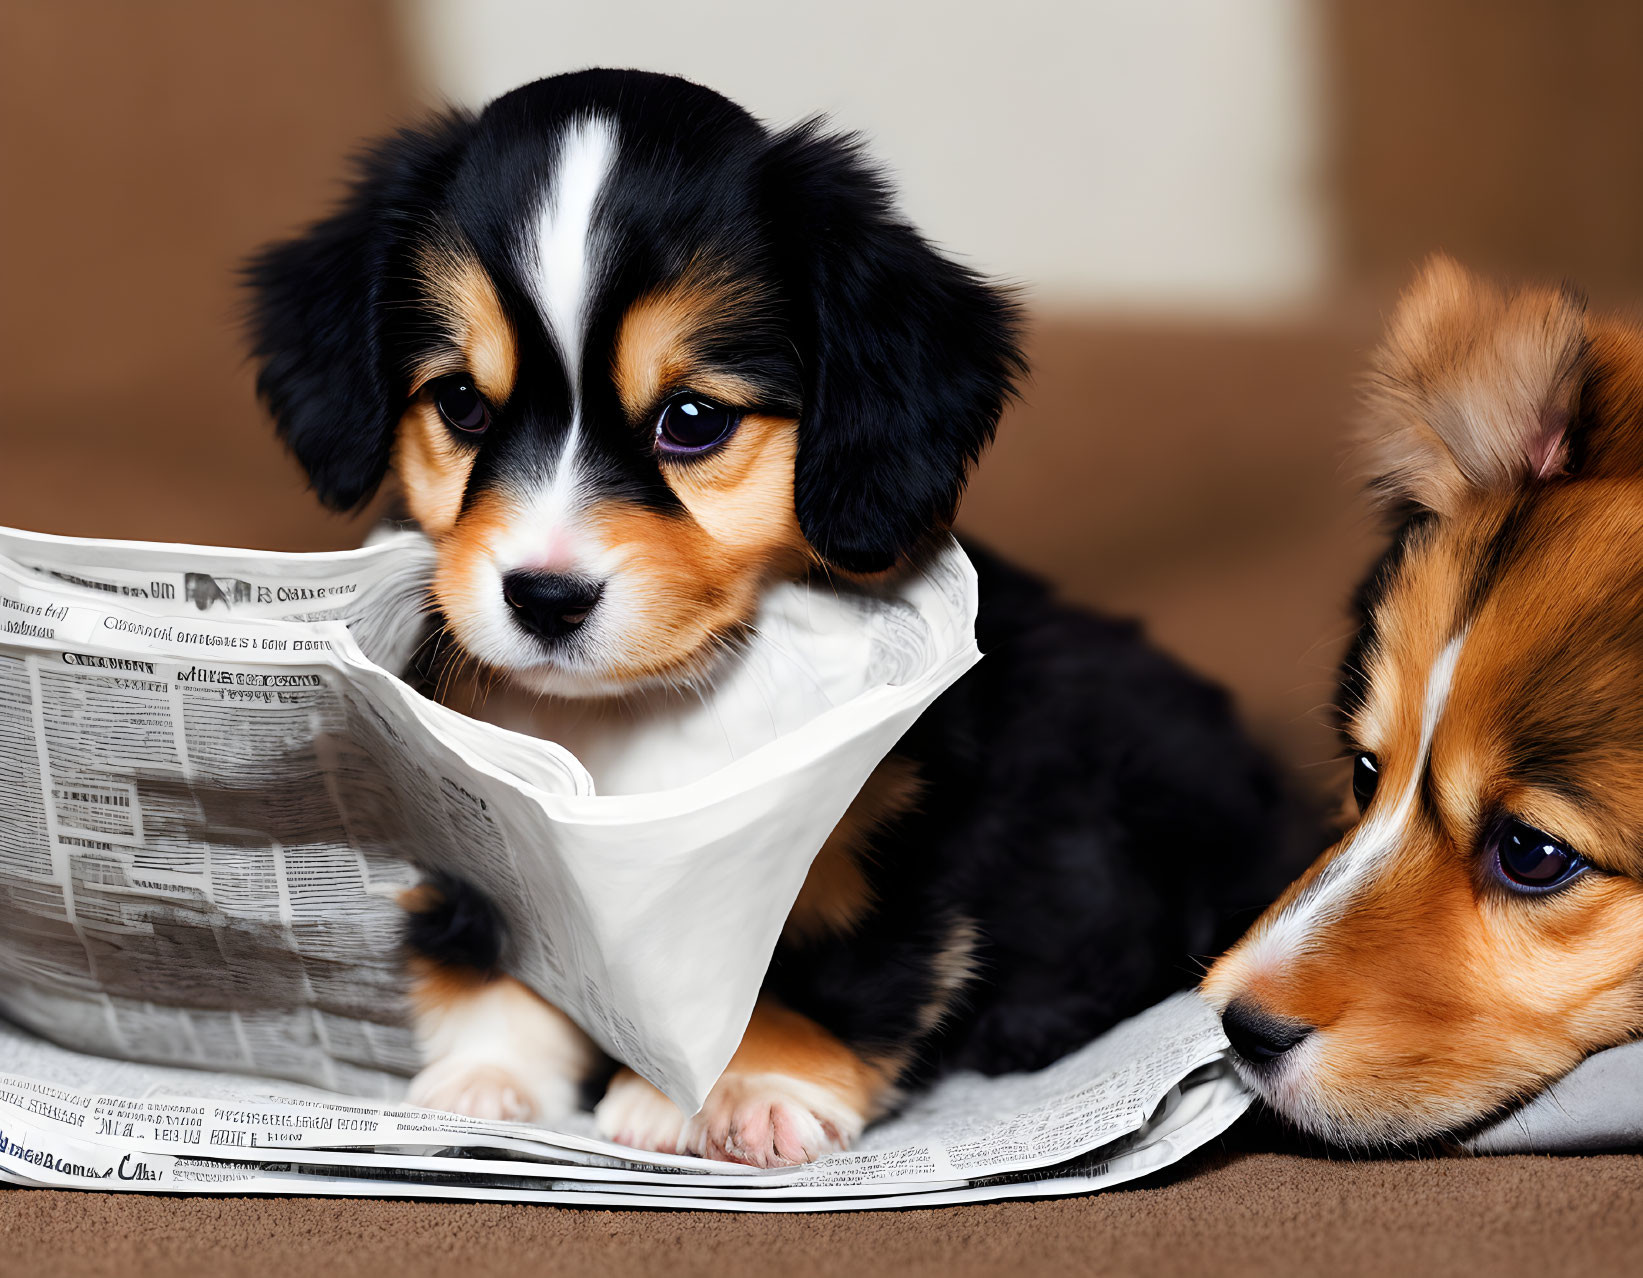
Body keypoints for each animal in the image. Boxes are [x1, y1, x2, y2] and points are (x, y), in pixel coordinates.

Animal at [246, 72, 1294, 1163]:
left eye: (692, 420)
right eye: (460, 403)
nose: (543, 598)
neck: (642, 714)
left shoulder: (870, 836)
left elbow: (808, 965)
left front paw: (745, 1090)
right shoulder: (479, 817)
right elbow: (498, 954)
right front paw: (490, 1080)